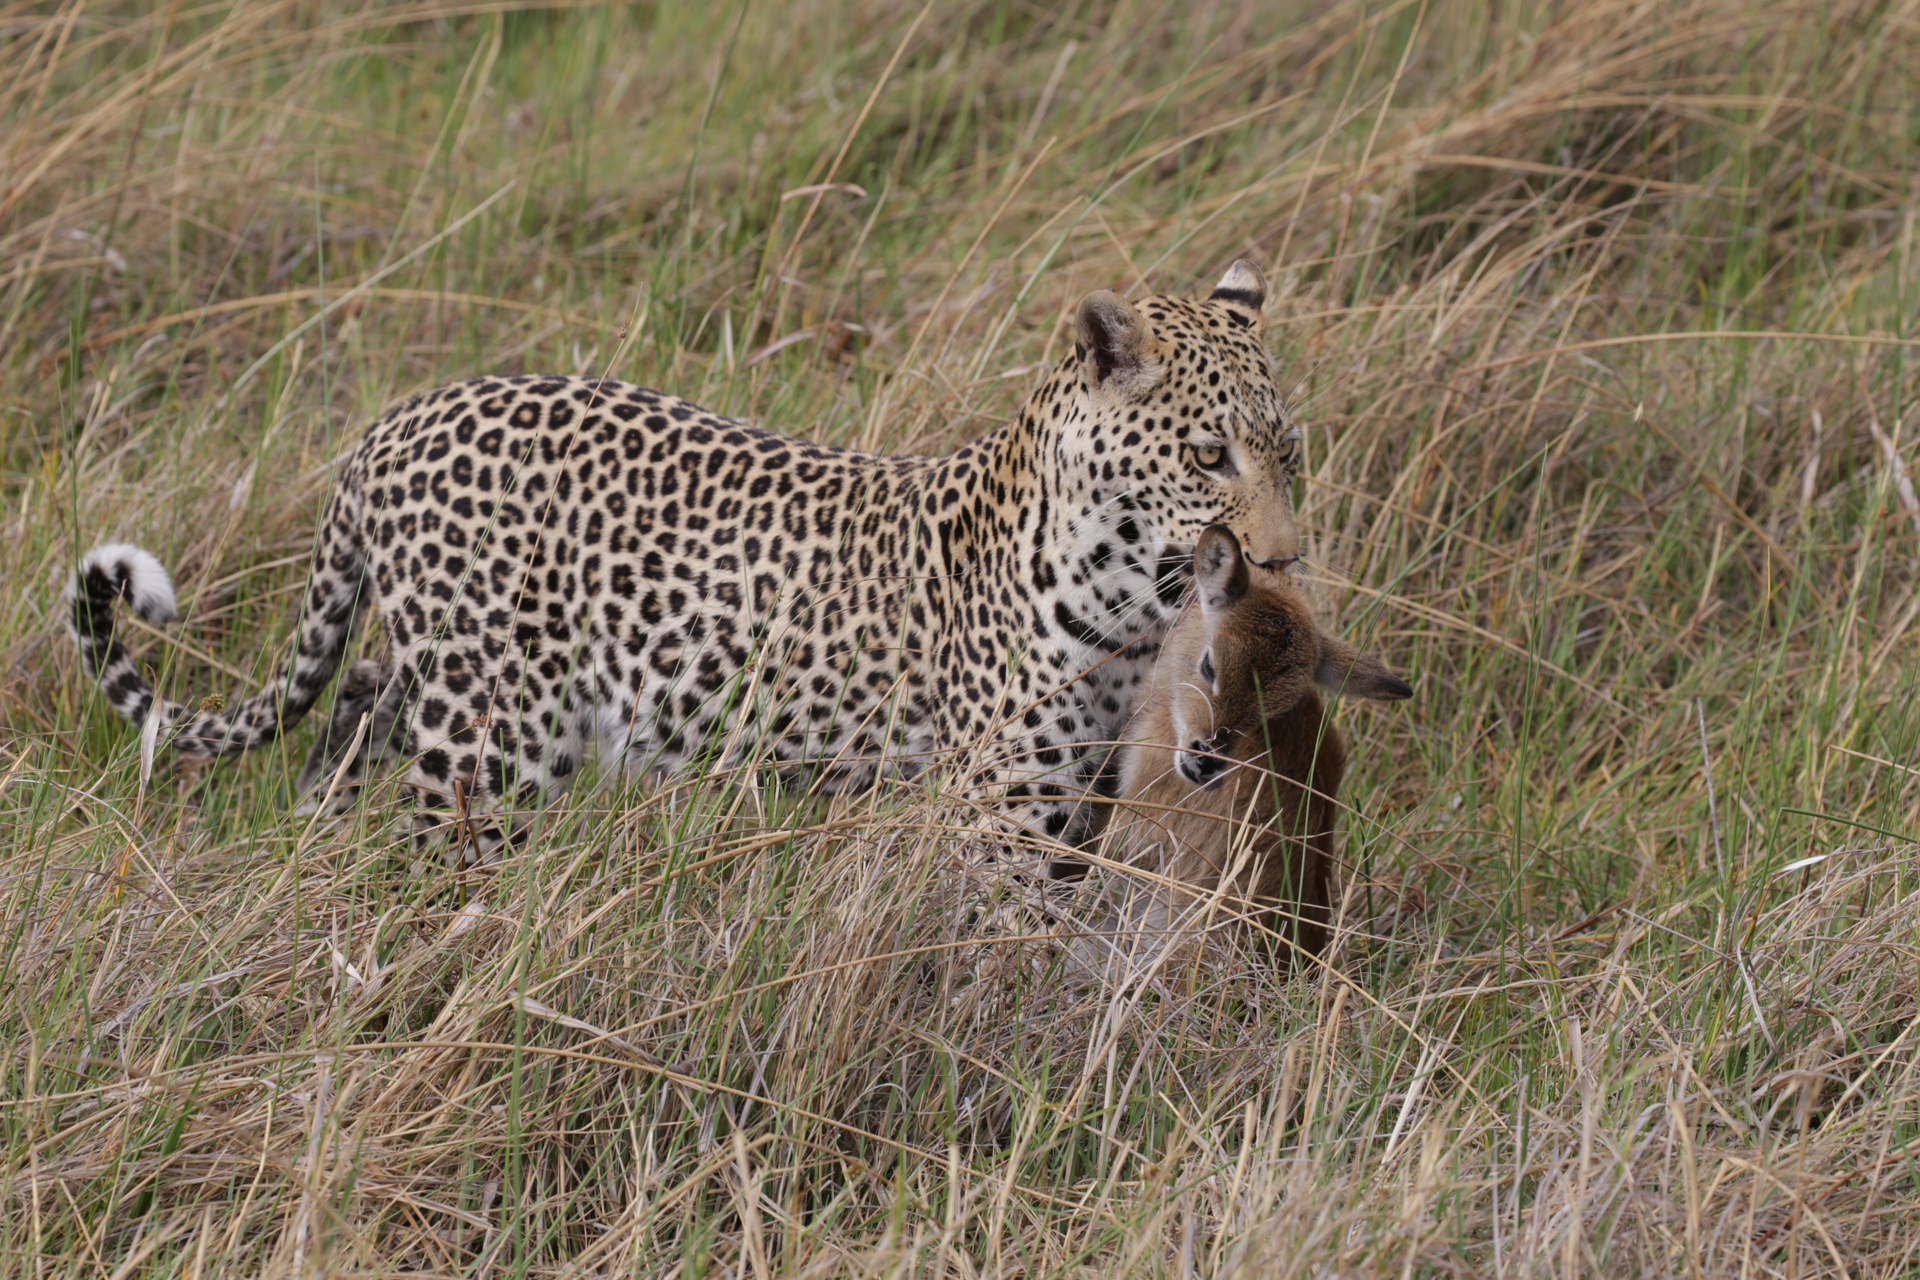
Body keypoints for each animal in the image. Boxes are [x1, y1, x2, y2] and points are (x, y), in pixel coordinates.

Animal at [71, 260, 1305, 859]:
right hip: (492, 738)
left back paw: (317, 817)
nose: (1286, 560)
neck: (1128, 600)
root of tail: (393, 422)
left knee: (368, 685)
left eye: (1290, 450)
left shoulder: (1081, 801)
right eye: (1209, 454)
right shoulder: (1005, 811)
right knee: (436, 832)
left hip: (456, 685)